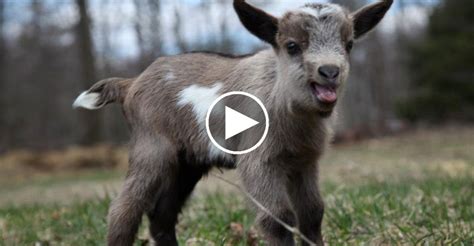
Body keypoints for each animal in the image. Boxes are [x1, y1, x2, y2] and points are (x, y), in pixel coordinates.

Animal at [74, 0, 392, 245]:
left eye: (349, 44)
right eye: (292, 46)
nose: (329, 71)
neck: (281, 99)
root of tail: (131, 83)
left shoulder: (305, 161)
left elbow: (312, 214)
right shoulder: (258, 160)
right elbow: (278, 218)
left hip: (187, 162)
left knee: (161, 216)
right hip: (152, 148)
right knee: (123, 209)